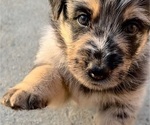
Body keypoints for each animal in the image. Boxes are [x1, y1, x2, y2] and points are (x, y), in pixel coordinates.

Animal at [0, 0, 149, 125]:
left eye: (131, 27)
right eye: (83, 18)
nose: (97, 71)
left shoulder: (123, 104)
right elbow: (47, 69)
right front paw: (26, 89)